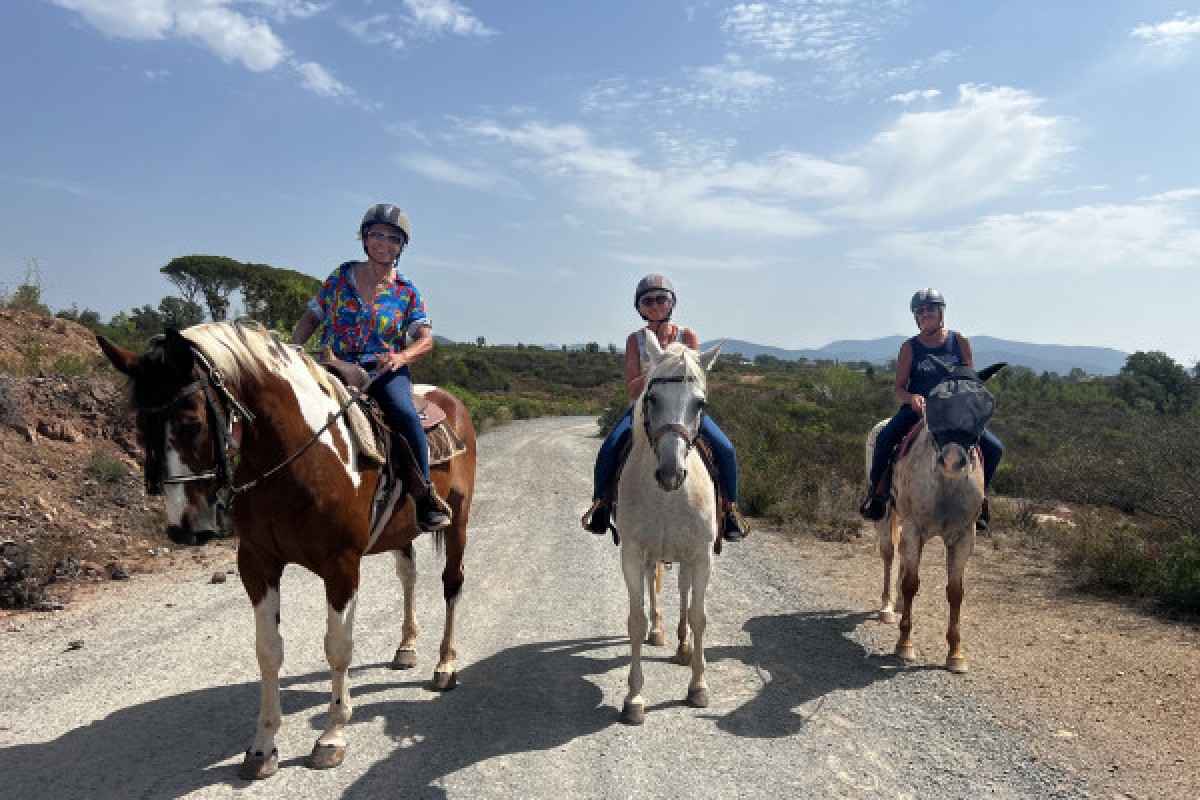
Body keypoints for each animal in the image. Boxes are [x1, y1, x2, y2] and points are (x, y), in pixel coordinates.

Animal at [97, 320, 476, 779]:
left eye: (191, 423)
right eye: (141, 428)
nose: (183, 528)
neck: (299, 458)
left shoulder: (342, 566)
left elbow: (337, 647)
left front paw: (332, 736)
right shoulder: (257, 563)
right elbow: (268, 651)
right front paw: (262, 747)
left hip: (458, 519)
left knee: (451, 583)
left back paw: (445, 664)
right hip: (400, 532)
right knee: (408, 576)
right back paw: (406, 648)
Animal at [613, 336, 722, 725]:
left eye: (700, 403)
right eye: (652, 398)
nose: (670, 473)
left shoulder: (702, 555)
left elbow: (699, 616)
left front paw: (699, 687)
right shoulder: (632, 554)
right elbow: (636, 619)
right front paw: (634, 698)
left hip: (687, 557)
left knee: (685, 592)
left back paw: (682, 646)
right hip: (652, 557)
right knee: (654, 590)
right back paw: (660, 632)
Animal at [864, 362, 1002, 673]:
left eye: (986, 403)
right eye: (935, 400)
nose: (952, 460)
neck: (946, 485)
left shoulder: (964, 537)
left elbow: (955, 592)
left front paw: (956, 654)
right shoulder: (915, 528)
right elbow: (912, 584)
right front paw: (904, 645)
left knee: (903, 560)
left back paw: (898, 605)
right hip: (887, 517)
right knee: (890, 556)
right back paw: (887, 607)